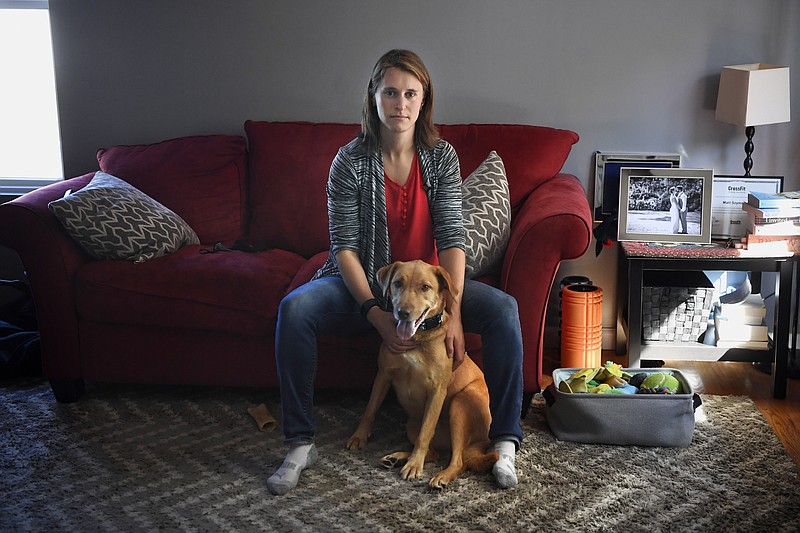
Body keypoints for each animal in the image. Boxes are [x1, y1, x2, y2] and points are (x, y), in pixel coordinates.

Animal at [346, 260, 496, 488]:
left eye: (425, 287)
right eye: (398, 283)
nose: (402, 312)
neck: (418, 337)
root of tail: (483, 441)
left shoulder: (437, 391)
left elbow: (425, 433)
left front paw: (415, 465)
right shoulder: (383, 375)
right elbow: (370, 409)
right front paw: (359, 436)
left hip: (460, 404)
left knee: (458, 460)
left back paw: (441, 475)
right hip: (411, 424)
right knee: (435, 453)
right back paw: (397, 457)